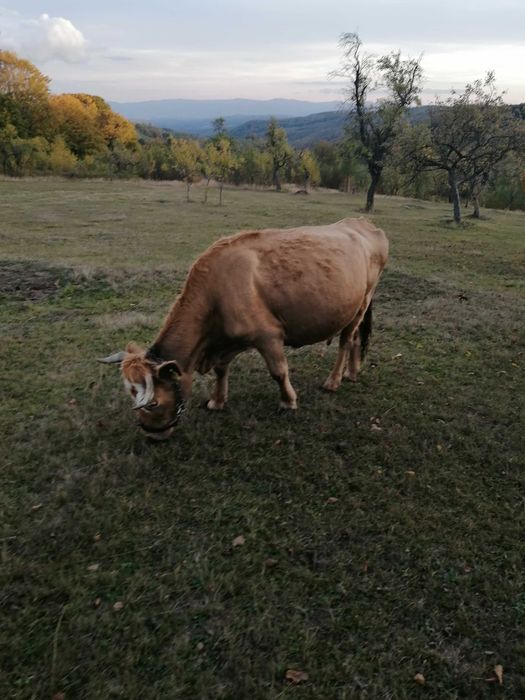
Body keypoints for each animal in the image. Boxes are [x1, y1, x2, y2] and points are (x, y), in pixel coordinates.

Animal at [99, 217, 388, 440]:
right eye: (130, 395)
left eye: (154, 402)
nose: (151, 435)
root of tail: (360, 224)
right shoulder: (224, 342)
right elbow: (221, 369)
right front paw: (217, 401)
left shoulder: (268, 336)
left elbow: (278, 371)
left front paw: (288, 402)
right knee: (354, 340)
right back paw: (352, 372)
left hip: (361, 304)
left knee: (345, 341)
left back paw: (333, 380)